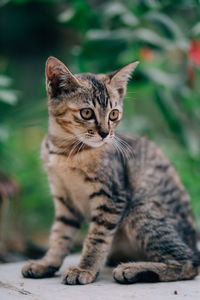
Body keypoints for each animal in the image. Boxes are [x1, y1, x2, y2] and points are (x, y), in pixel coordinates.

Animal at [21, 57, 198, 284]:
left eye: (114, 115)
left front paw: (84, 269)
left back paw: (133, 269)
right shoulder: (64, 200)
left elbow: (97, 237)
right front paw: (47, 263)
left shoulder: (112, 197)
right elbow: (59, 235)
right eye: (86, 112)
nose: (105, 133)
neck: (67, 152)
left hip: (140, 209)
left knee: (189, 263)